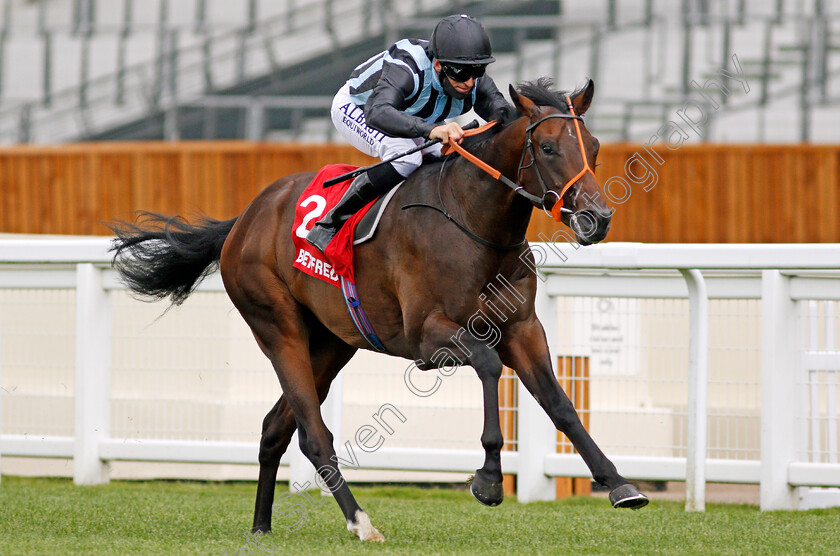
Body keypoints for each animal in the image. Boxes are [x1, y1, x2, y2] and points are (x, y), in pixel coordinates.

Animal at [111, 76, 648, 540]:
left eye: (594, 147)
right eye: (549, 148)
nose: (597, 218)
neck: (474, 221)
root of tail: (244, 219)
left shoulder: (522, 327)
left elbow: (560, 403)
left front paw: (619, 483)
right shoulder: (430, 337)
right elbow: (489, 365)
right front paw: (489, 479)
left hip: (330, 344)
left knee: (275, 428)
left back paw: (262, 526)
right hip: (278, 327)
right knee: (313, 434)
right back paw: (360, 522)